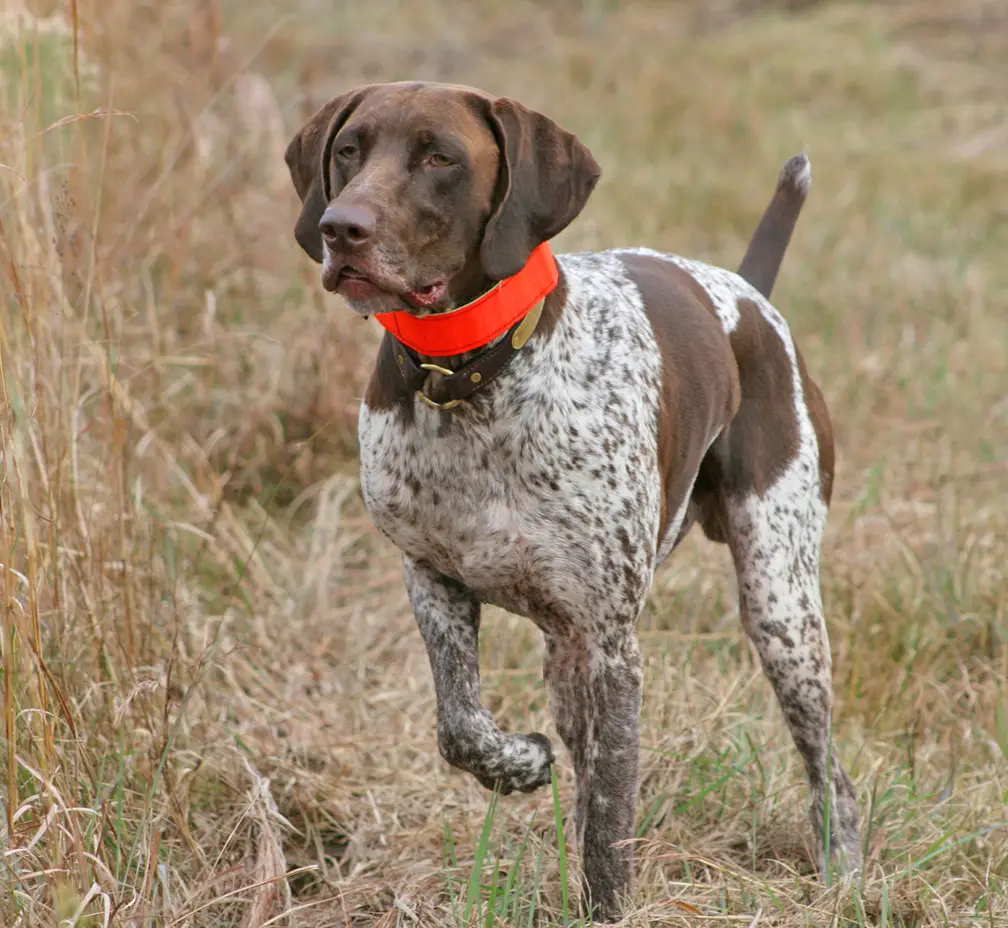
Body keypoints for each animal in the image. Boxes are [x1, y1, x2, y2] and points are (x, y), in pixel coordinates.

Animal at [284, 79, 858, 918]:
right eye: (350, 150)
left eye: (439, 157)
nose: (341, 228)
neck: (475, 382)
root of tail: (748, 293)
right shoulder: (433, 580)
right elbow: (461, 726)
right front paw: (520, 763)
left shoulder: (614, 647)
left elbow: (612, 816)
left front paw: (609, 907)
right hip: (570, 657)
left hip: (781, 606)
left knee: (831, 773)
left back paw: (843, 873)